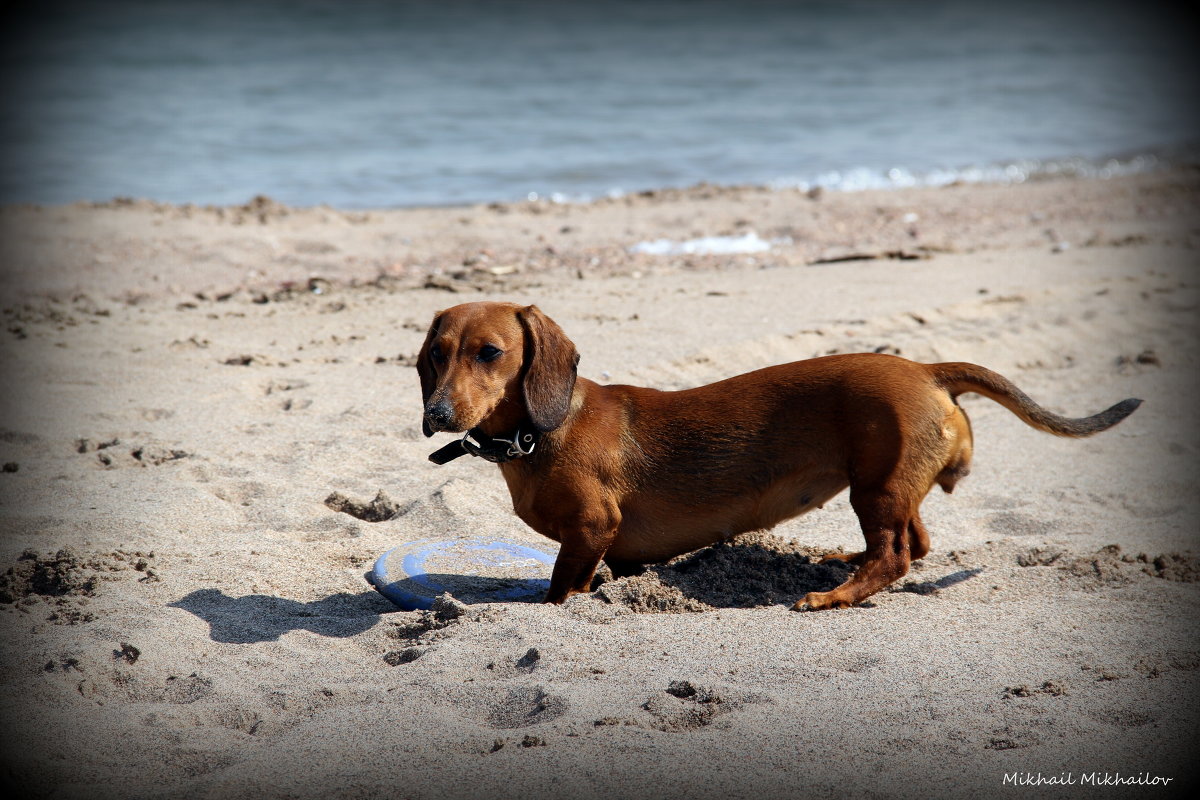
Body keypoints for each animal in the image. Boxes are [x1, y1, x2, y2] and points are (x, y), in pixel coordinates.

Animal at [420, 303, 1142, 609]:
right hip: (888, 483)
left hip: (874, 488)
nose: (438, 416)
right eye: (433, 355)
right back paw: (844, 563)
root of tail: (927, 369)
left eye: (490, 352)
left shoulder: (592, 529)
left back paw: (834, 595)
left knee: (896, 556)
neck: (539, 433)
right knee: (916, 543)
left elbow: (560, 587)